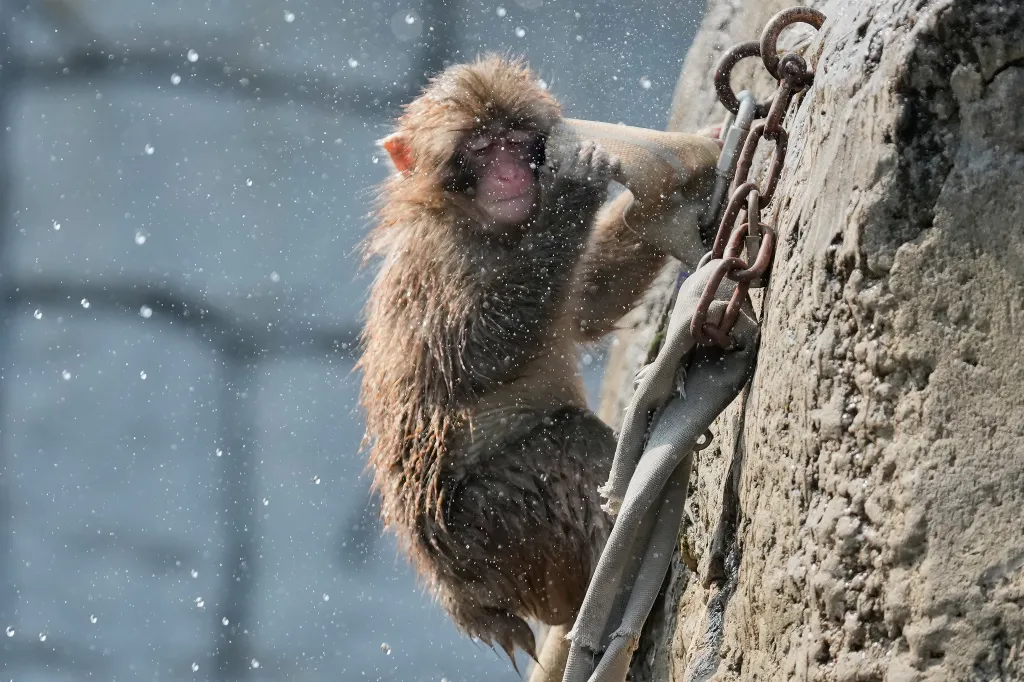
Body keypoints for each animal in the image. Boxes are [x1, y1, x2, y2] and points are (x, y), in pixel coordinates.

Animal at [357, 54, 720, 666]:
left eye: (516, 141)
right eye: (482, 149)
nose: (511, 176)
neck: (486, 227)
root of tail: (466, 602)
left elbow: (586, 303)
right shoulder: (441, 262)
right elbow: (474, 354)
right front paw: (575, 187)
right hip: (491, 533)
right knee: (564, 443)